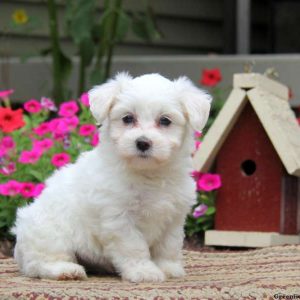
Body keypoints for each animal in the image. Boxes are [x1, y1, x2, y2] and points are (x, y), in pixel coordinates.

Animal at [12, 72, 211, 282]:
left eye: (165, 121)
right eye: (128, 118)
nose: (142, 142)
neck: (147, 173)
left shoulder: (174, 217)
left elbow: (168, 245)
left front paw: (168, 268)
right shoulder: (119, 218)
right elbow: (134, 246)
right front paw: (143, 271)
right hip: (50, 233)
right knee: (39, 263)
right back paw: (67, 270)